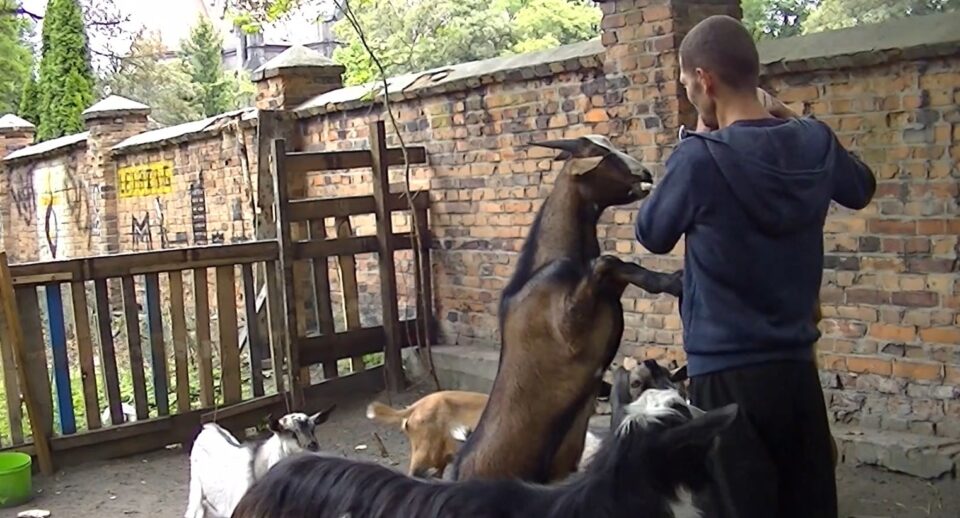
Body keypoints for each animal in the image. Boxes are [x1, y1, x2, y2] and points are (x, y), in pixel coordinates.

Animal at [452, 136, 684, 486]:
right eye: (600, 154)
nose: (645, 174)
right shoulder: (570, 329)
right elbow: (607, 262)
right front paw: (678, 281)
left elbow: (620, 265)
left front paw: (673, 281)